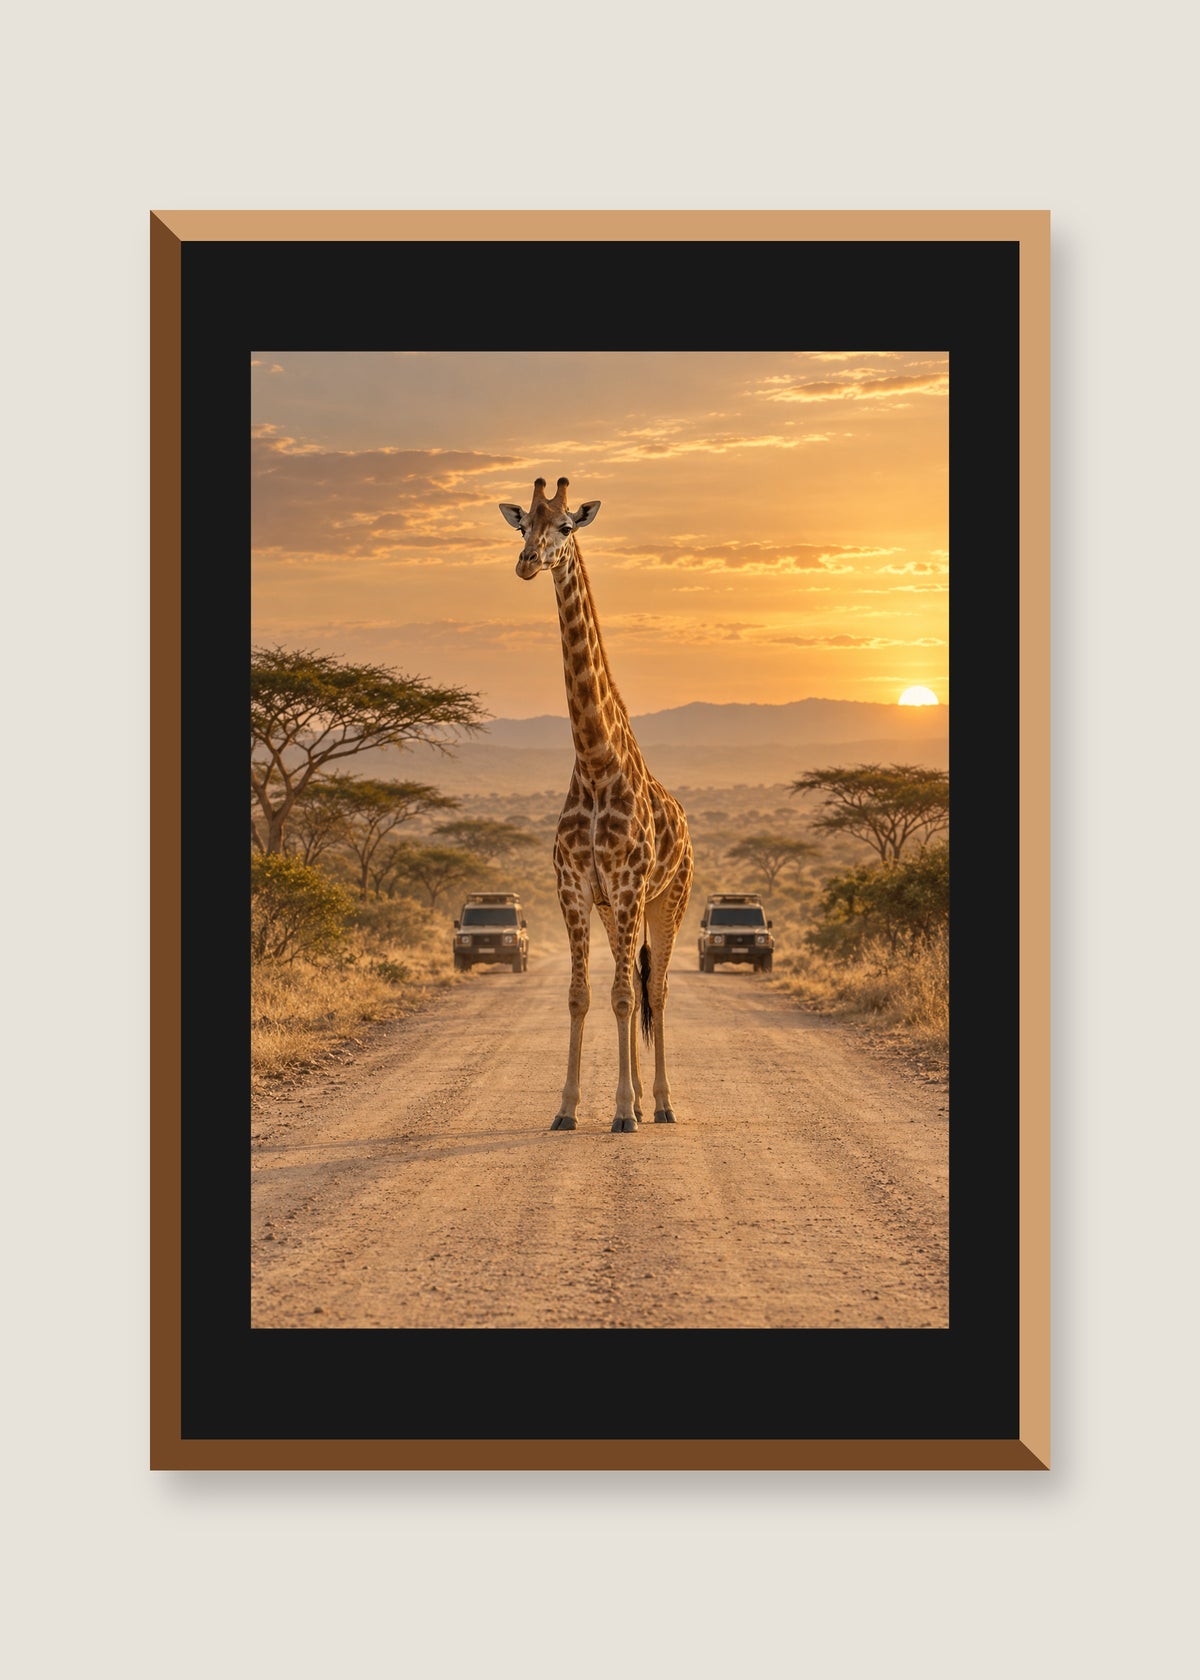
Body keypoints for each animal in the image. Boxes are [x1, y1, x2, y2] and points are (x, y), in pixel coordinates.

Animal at [499, 477, 694, 1133]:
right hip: (617, 911)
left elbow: (628, 996)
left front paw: (625, 1112)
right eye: (523, 524)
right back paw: (631, 1099)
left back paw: (657, 1104)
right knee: (627, 984)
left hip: (668, 899)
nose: (528, 562)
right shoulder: (577, 887)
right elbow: (583, 995)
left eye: (565, 527)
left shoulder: (631, 886)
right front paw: (567, 1108)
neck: (593, 760)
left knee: (654, 990)